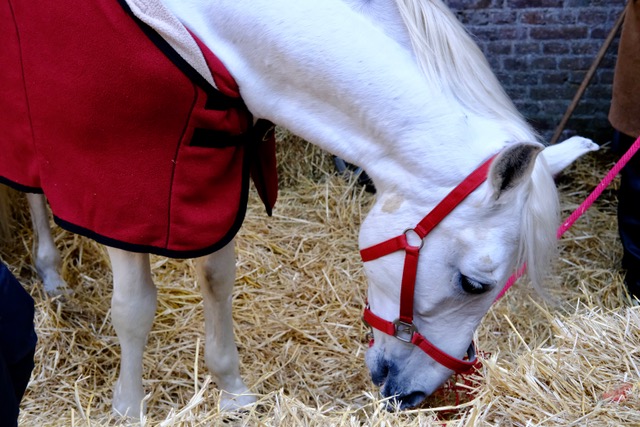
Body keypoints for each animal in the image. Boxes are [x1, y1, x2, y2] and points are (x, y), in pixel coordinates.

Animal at [1, 0, 600, 418]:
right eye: (476, 284)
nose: (415, 396)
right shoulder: (119, 191)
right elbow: (134, 309)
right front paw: (127, 410)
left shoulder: (211, 180)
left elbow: (217, 280)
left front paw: (234, 394)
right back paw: (51, 275)